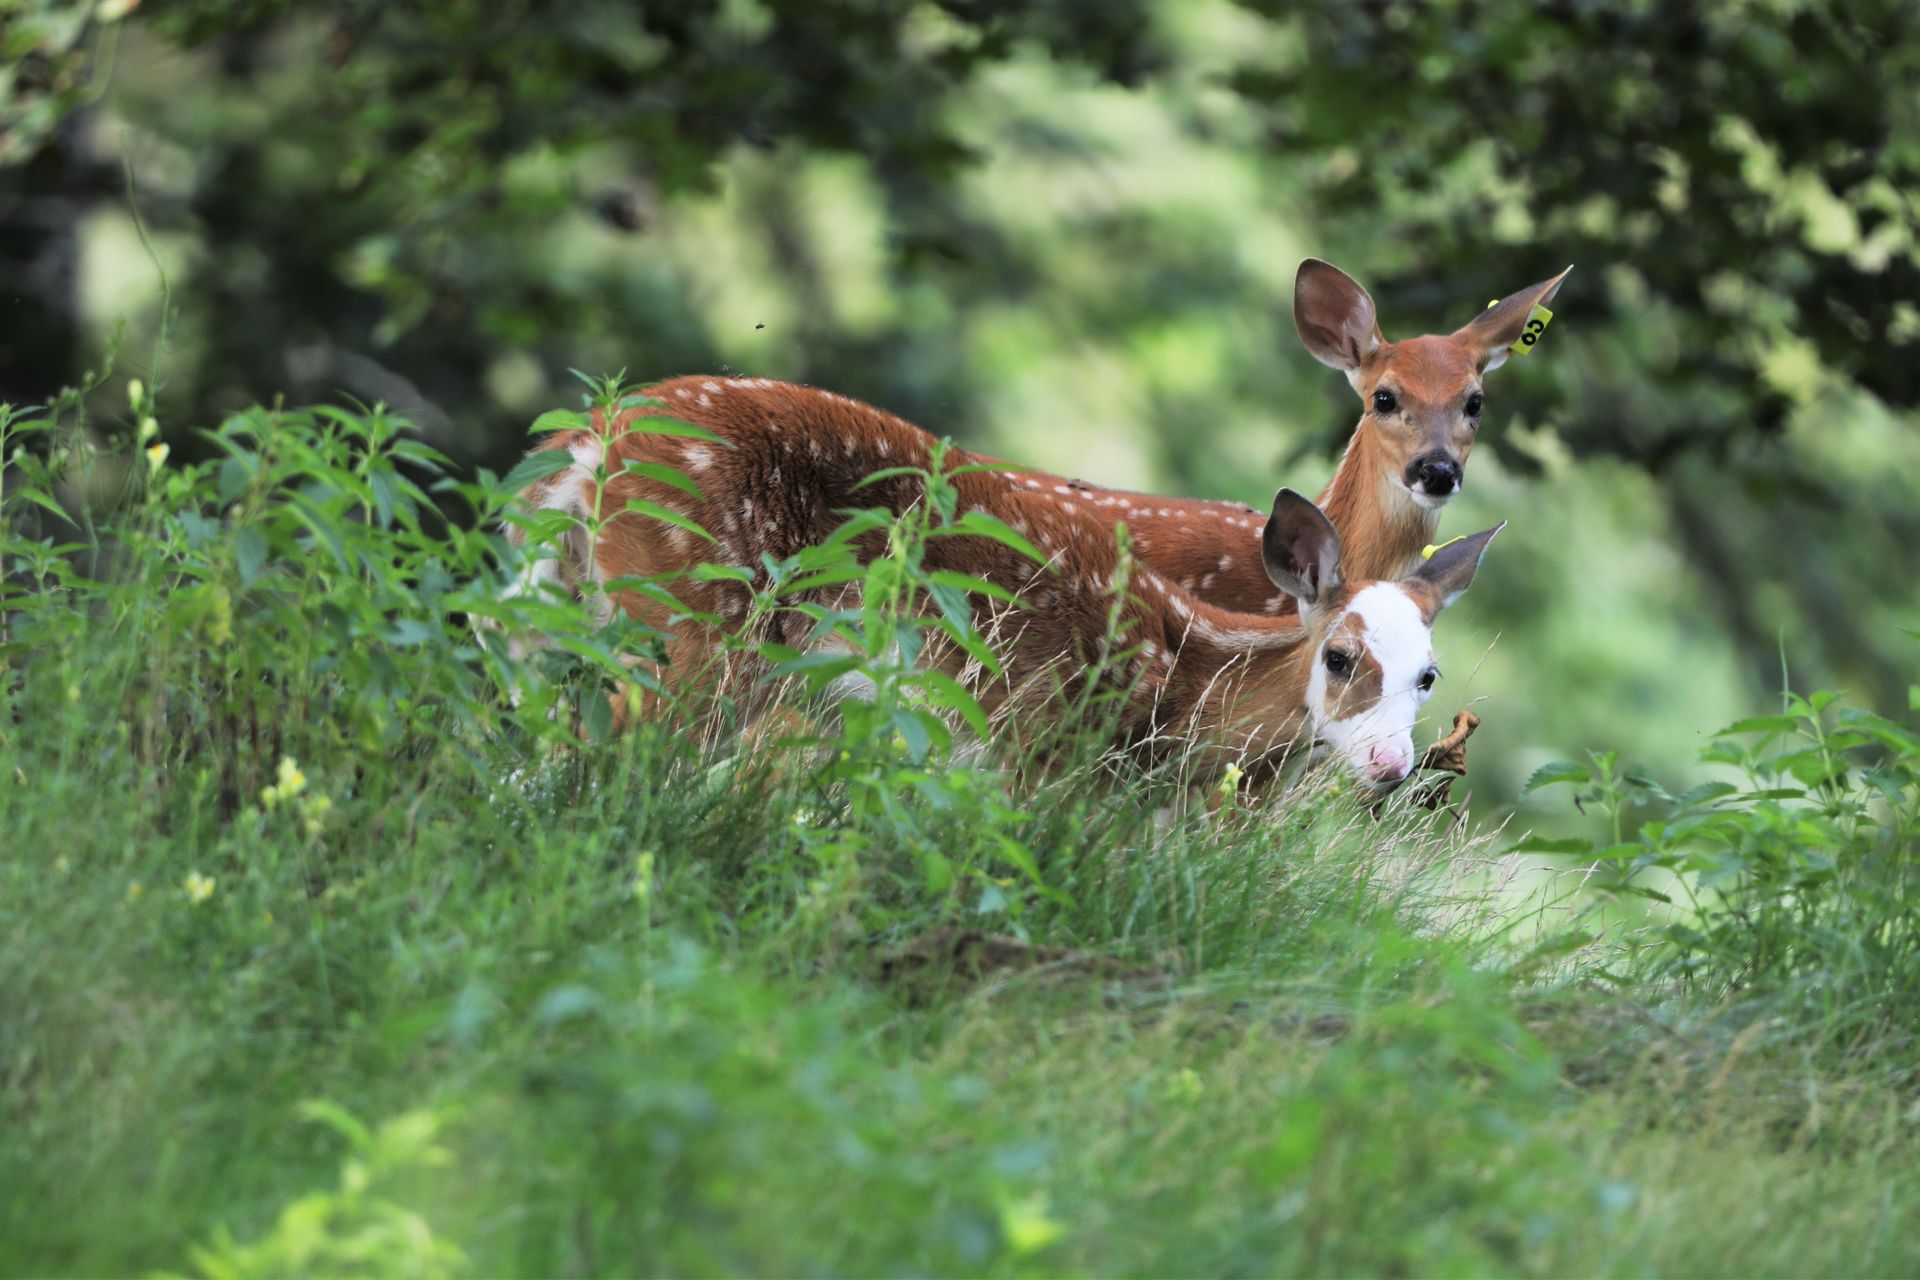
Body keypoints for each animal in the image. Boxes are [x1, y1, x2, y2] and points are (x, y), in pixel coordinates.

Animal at [500, 376, 1502, 789]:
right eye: (1339, 656)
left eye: (1429, 675)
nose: (1390, 765)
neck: (1176, 682)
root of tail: (595, 436)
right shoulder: (1030, 743)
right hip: (696, 622)